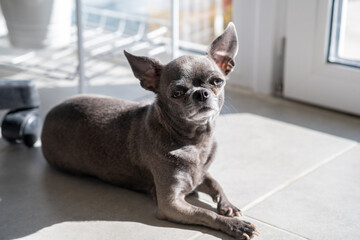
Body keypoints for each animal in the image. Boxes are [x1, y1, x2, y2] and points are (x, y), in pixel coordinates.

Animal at [41, 23, 258, 240]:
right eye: (177, 93)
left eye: (217, 82)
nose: (201, 93)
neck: (194, 141)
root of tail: (47, 117)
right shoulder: (170, 204)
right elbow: (205, 214)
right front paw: (235, 225)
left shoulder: (200, 174)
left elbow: (215, 183)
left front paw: (228, 205)